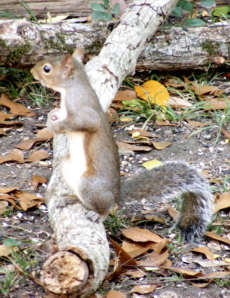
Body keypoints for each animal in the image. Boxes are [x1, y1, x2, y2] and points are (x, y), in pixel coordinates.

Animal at [31, 48, 214, 240]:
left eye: (46, 68)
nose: (32, 71)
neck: (71, 88)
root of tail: (116, 195)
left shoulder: (83, 109)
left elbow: (84, 122)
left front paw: (56, 125)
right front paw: (53, 115)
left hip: (89, 185)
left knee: (104, 208)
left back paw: (97, 214)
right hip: (68, 169)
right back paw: (71, 198)